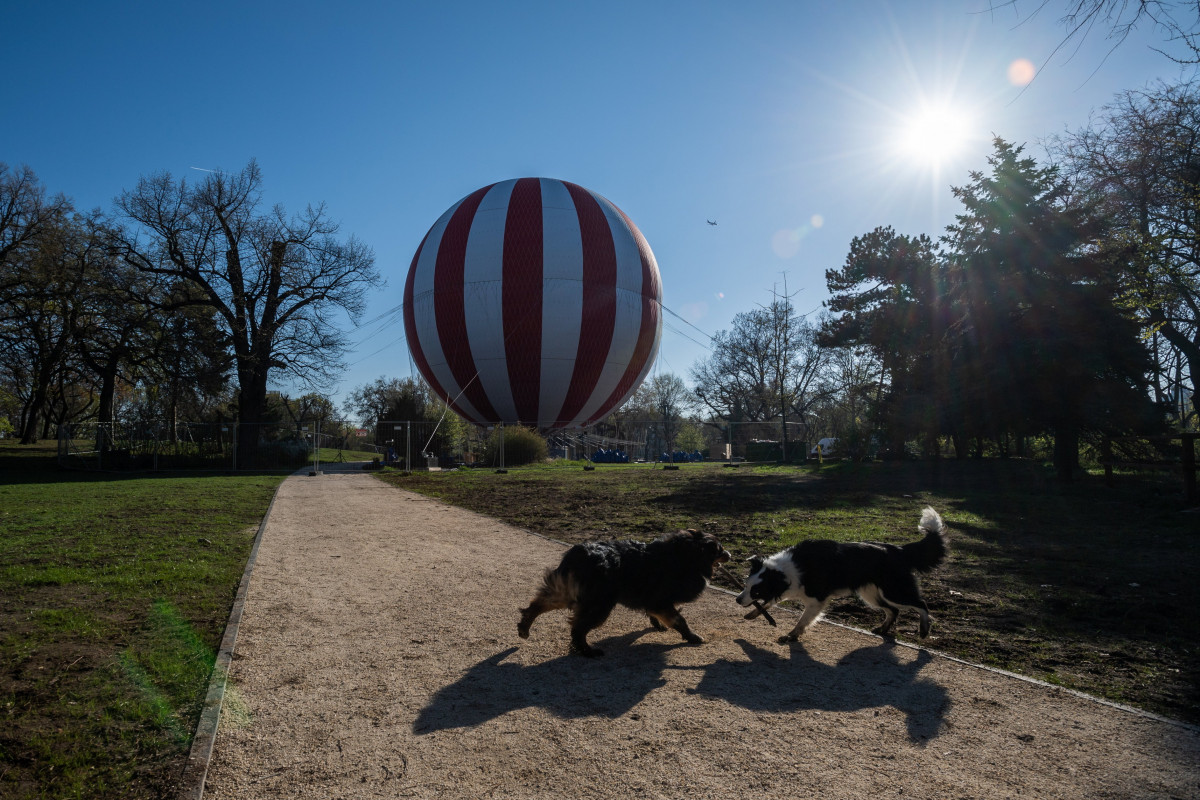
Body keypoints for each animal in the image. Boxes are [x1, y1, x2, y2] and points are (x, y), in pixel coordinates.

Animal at [518, 532, 729, 657]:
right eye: (718, 549)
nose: (730, 554)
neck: (685, 555)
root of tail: (579, 553)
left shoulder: (654, 601)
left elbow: (655, 615)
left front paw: (658, 625)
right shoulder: (661, 601)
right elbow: (680, 620)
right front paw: (691, 636)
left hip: (569, 591)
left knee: (538, 604)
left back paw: (525, 626)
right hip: (599, 604)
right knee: (578, 628)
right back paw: (587, 651)